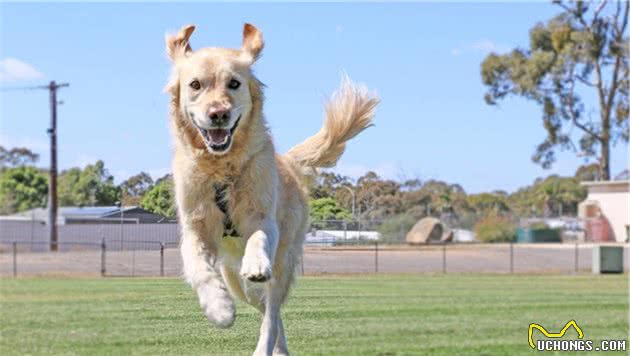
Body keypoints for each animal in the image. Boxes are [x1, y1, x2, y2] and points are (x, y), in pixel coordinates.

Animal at [165, 23, 378, 354]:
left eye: (234, 83)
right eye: (195, 85)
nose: (218, 114)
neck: (222, 167)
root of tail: (288, 161)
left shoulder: (262, 216)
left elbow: (258, 237)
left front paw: (255, 262)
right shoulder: (195, 227)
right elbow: (199, 269)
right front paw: (218, 308)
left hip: (284, 262)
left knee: (272, 311)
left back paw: (266, 346)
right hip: (234, 279)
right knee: (264, 305)